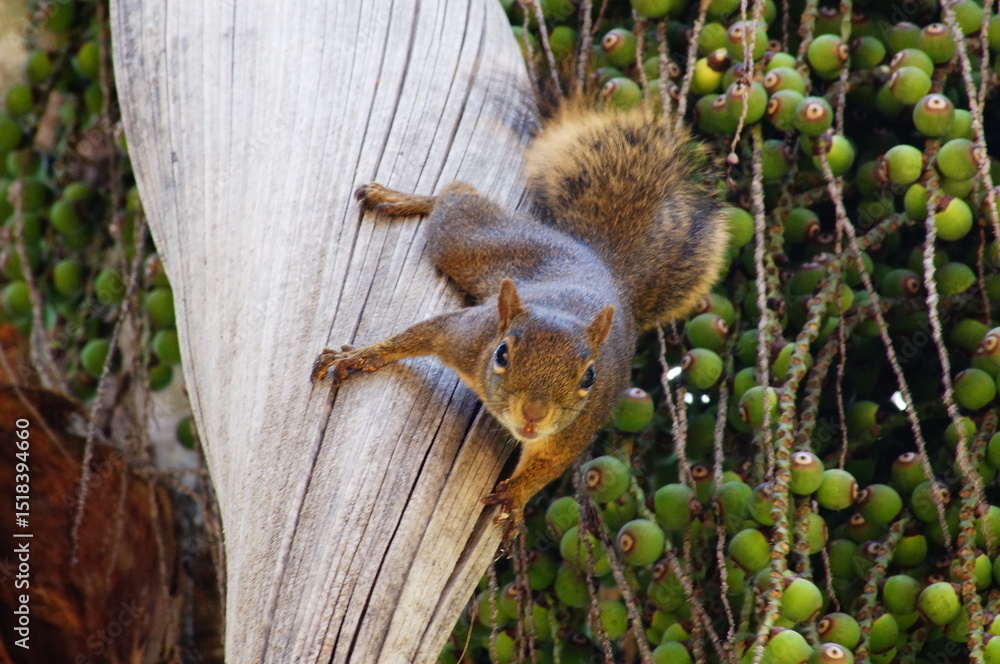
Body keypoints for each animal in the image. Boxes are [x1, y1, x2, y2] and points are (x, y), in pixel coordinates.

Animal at [312, 104, 728, 539]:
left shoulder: (575, 428)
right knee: (456, 199)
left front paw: (514, 497)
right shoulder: (465, 334)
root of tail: (600, 260)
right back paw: (399, 198)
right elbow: (414, 336)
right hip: (474, 243)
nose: (533, 415)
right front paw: (357, 358)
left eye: (589, 378)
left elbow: (547, 467)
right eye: (501, 354)